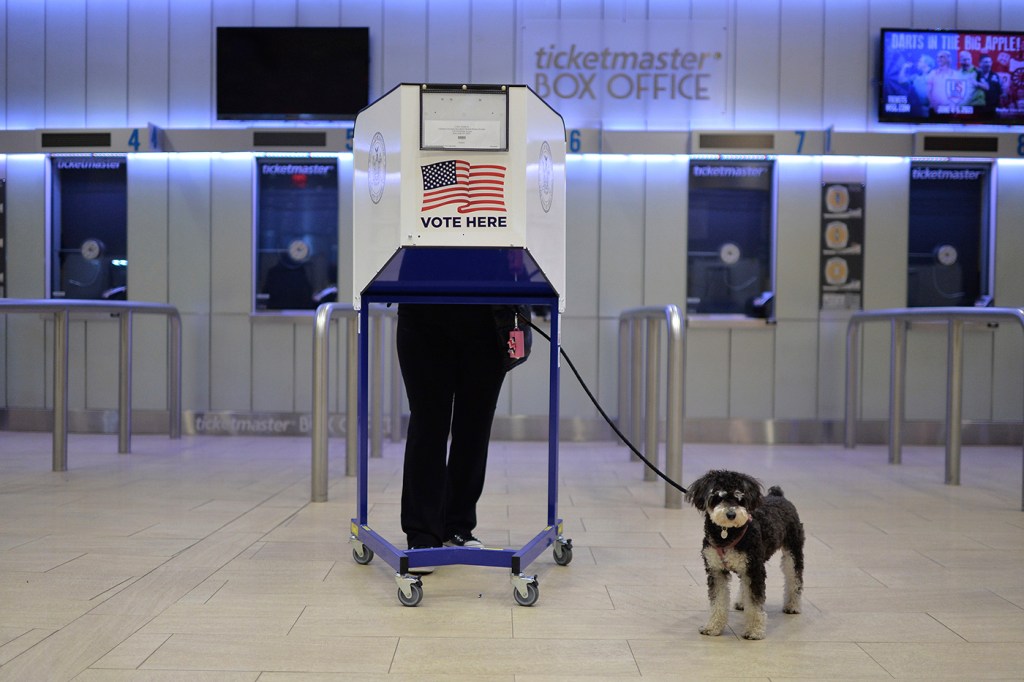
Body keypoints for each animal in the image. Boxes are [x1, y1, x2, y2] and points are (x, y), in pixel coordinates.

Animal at [684, 466, 802, 638]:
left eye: (740, 498)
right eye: (718, 497)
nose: (731, 514)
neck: (727, 534)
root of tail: (778, 495)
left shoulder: (755, 570)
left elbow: (755, 603)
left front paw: (754, 630)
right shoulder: (716, 570)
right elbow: (718, 601)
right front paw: (713, 627)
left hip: (792, 552)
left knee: (794, 579)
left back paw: (793, 605)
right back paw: (741, 602)